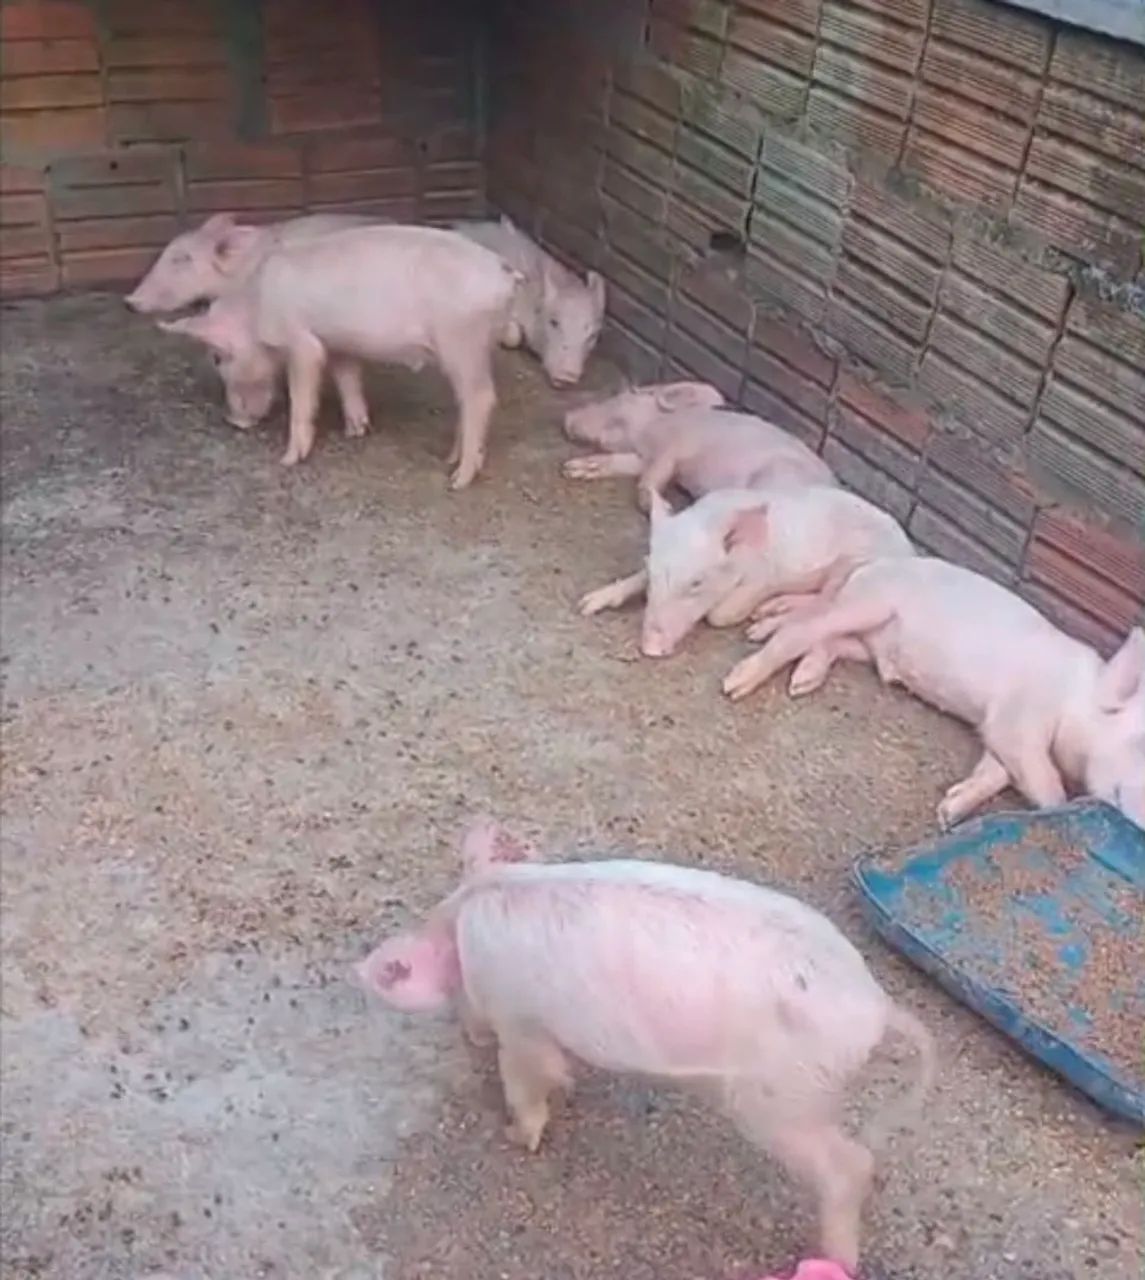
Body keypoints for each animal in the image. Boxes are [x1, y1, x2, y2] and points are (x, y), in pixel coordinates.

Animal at [157, 224, 519, 488]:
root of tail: (504, 272)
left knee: (481, 397)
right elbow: (348, 379)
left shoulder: (302, 342)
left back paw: (458, 480)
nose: (232, 420)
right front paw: (356, 430)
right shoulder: (339, 345)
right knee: (469, 399)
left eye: (218, 358)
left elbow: (302, 396)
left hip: (462, 340)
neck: (256, 306)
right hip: (477, 345)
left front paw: (288, 459)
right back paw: (451, 460)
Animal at [356, 816, 937, 1274]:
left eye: (456, 989)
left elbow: (530, 1080)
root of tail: (877, 1004)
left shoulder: (521, 1024)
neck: (468, 916)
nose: (468, 1033)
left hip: (779, 1099)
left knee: (851, 1164)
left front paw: (516, 1136)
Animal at [563, 382, 836, 511]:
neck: (652, 429)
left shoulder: (672, 450)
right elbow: (628, 465)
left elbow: (651, 477)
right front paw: (573, 469)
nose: (568, 418)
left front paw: (663, 507)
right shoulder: (645, 456)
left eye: (621, 396)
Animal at [580, 485, 915, 658]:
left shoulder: (762, 576)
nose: (650, 649)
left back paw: (760, 627)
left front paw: (747, 621)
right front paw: (586, 604)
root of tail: (907, 548)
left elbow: (720, 615)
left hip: (854, 565)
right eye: (652, 566)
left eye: (696, 582)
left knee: (825, 602)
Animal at [721, 556, 1145, 831]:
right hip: (867, 604)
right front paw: (1057, 808)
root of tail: (872, 565)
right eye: (1139, 746)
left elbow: (994, 772)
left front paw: (949, 812)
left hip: (864, 643)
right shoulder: (1017, 718)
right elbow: (1040, 777)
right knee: (802, 630)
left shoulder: (1001, 735)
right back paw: (739, 679)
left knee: (824, 638)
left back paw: (800, 676)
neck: (1077, 701)